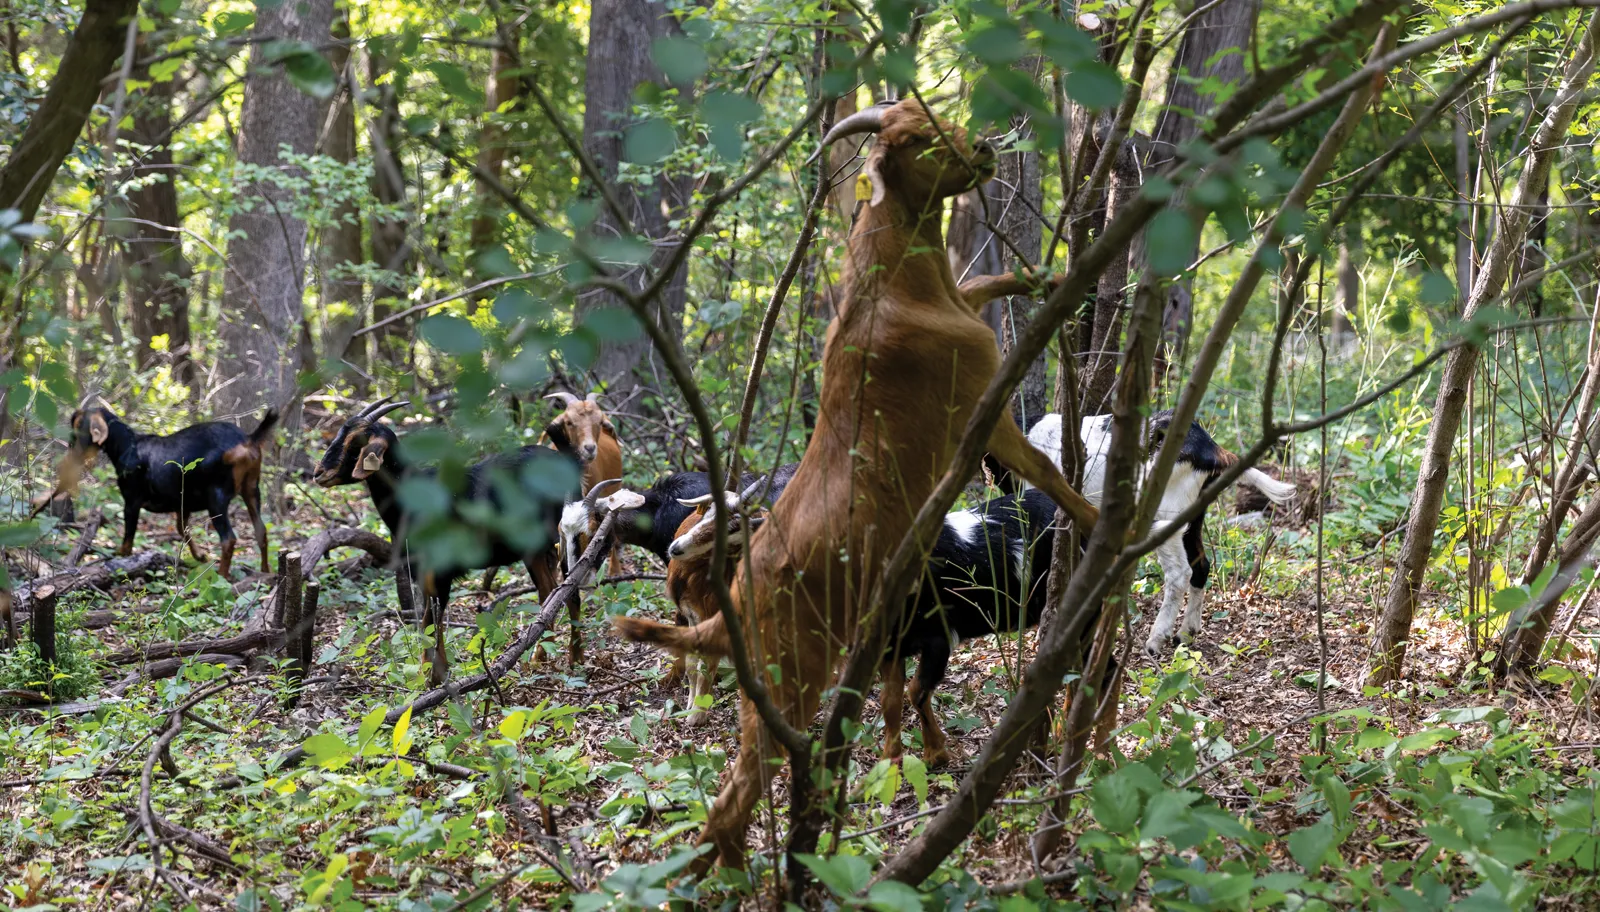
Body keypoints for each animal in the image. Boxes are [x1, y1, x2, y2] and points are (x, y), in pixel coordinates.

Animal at [42, 406, 277, 576]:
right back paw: (266, 572)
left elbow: (128, 539)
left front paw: (121, 560)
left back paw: (221, 575)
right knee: (261, 531)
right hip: (252, 490)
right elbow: (182, 529)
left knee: (229, 539)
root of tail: (248, 440)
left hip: (216, 497)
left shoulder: (131, 502)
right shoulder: (183, 504)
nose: (69, 453)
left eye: (77, 427)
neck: (128, 446)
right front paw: (201, 556)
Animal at [313, 397, 581, 682]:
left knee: (571, 591)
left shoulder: (441, 568)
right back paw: (540, 658)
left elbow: (432, 618)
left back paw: (575, 660)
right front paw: (431, 674)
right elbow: (428, 618)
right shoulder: (421, 570)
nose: (319, 473)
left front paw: (434, 678)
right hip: (534, 549)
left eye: (356, 443)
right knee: (548, 593)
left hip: (564, 534)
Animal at [613, 97, 1099, 871]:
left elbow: (981, 286)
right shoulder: (980, 406)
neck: (897, 283)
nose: (984, 149)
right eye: (917, 138)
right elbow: (1046, 470)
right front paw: (1108, 521)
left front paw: (1045, 279)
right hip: (796, 679)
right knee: (738, 795)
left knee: (728, 803)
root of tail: (736, 596)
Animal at [1025, 410, 1297, 655]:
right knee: (1201, 565)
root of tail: (1209, 448)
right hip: (1192, 516)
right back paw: (1186, 633)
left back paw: (1156, 640)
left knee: (1179, 574)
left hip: (1166, 514)